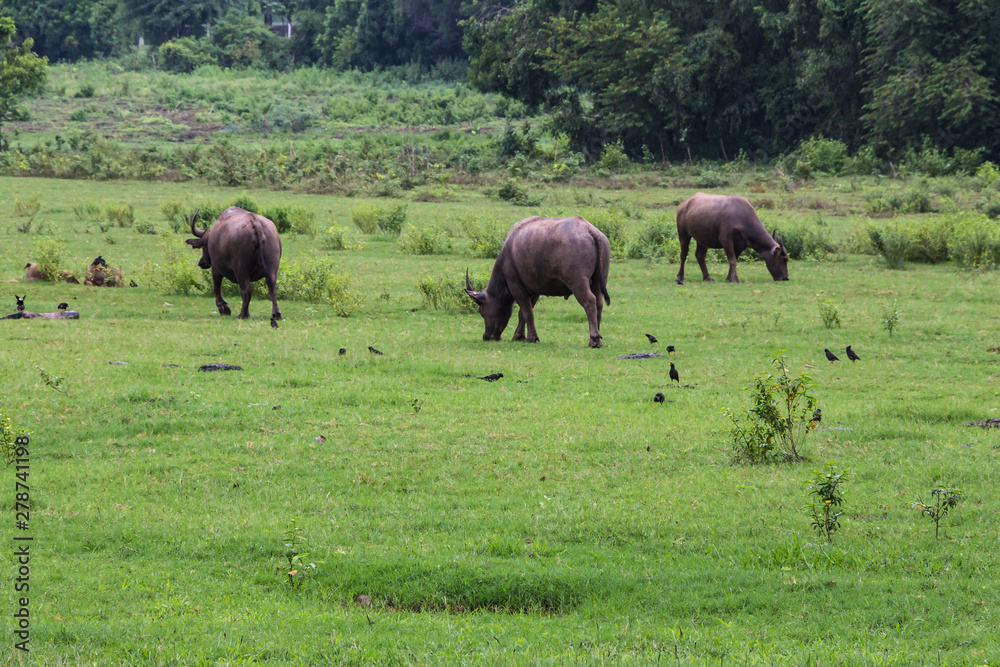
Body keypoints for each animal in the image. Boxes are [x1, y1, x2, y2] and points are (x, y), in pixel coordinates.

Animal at [462, 217, 608, 350]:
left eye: (482, 311)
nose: (486, 336)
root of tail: (588, 229)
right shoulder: (533, 290)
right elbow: (523, 313)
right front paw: (519, 336)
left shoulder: (515, 286)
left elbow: (527, 312)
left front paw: (531, 338)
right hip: (598, 281)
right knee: (599, 303)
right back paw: (598, 338)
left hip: (577, 282)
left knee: (589, 301)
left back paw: (594, 339)